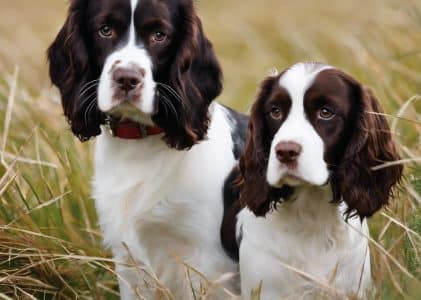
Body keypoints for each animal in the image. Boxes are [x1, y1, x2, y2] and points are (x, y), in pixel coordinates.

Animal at [48, 0, 248, 298]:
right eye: (104, 30)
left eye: (159, 35)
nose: (126, 79)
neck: (140, 146)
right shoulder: (129, 260)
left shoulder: (210, 265)